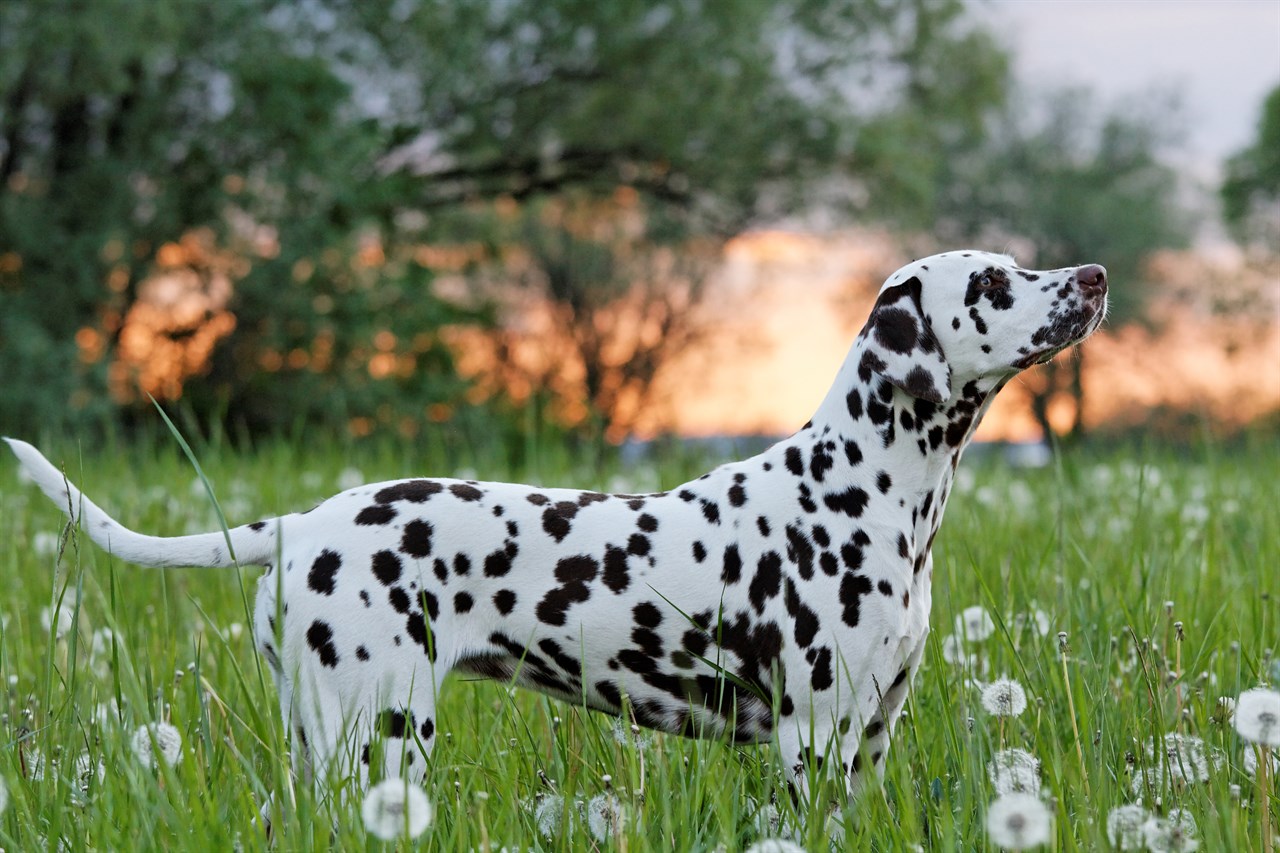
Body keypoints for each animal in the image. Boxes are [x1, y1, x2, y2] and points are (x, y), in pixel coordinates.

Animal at [7, 251, 1100, 804]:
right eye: (993, 281)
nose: (1091, 276)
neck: (859, 488)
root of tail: (302, 524)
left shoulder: (869, 739)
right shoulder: (814, 739)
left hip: (326, 742)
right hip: (383, 737)